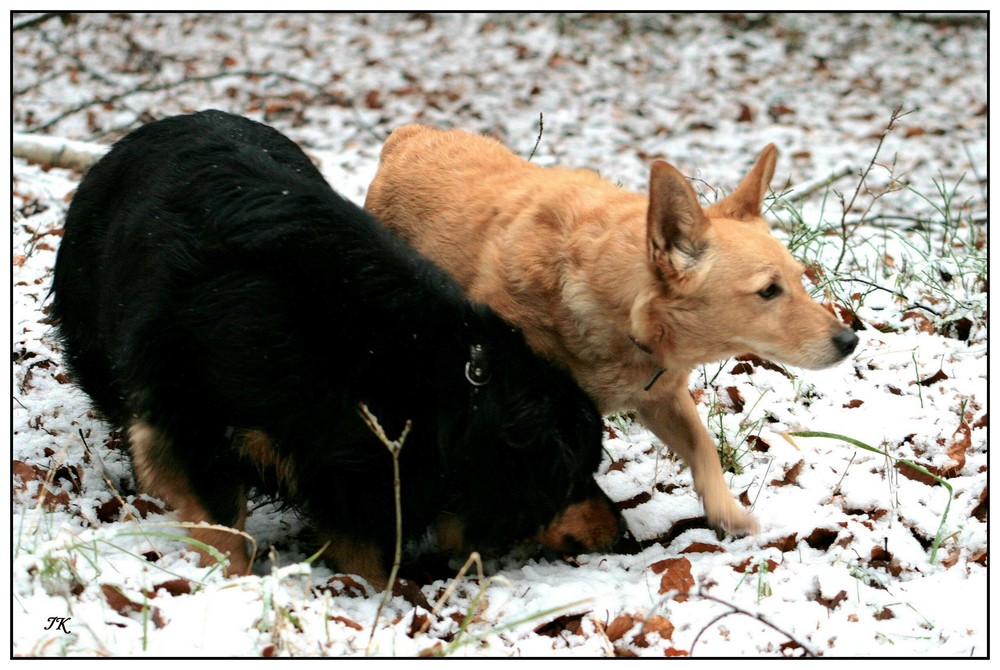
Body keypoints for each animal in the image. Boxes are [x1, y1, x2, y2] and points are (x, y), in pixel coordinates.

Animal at [50, 111, 620, 588]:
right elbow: (223, 518)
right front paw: (235, 587)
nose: (623, 534)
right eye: (573, 473)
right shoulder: (197, 409)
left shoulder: (346, 455)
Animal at [364, 127, 856, 536]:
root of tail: (409, 135)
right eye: (768, 291)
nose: (850, 340)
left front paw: (726, 512)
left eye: (799, 279)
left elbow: (703, 448)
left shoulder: (661, 397)